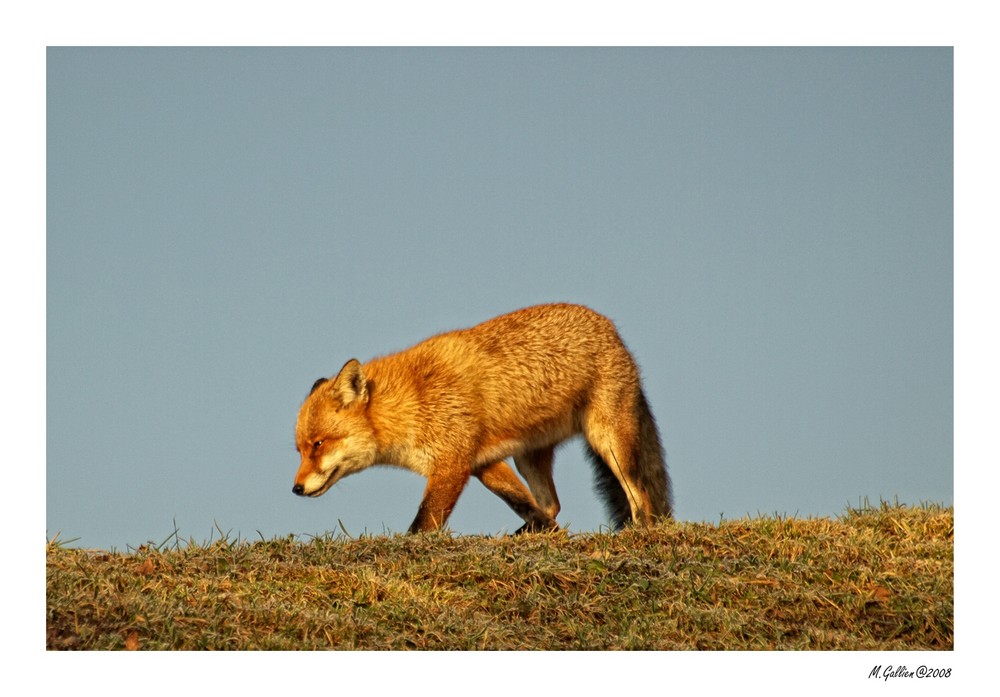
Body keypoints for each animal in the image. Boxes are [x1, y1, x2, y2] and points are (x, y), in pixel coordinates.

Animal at [292, 300, 676, 532]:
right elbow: (526, 505)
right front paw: (548, 533)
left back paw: (637, 534)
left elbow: (422, 525)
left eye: (319, 444)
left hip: (610, 443)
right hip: (528, 458)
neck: (409, 403)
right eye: (300, 450)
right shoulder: (482, 463)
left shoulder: (451, 465)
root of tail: (611, 328)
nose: (295, 489)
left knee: (641, 498)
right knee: (551, 504)